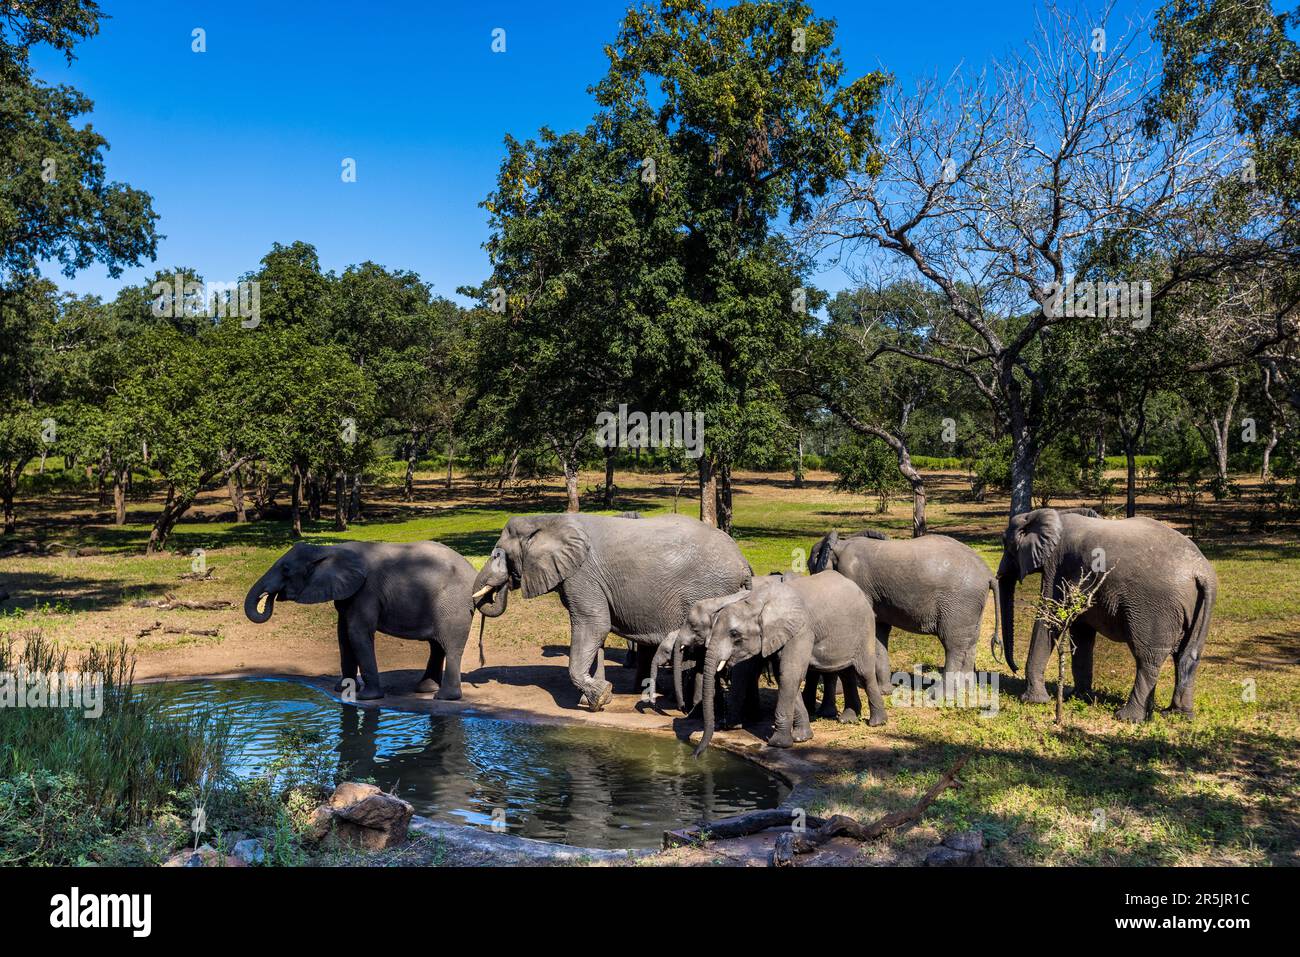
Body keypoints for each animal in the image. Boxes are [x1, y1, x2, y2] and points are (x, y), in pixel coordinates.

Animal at [244, 538, 478, 702]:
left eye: (285, 570)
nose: (271, 597)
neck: (329, 550)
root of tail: (473, 572)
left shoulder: (367, 590)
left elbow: (357, 632)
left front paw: (368, 697)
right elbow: (343, 635)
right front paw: (343, 688)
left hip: (454, 604)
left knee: (451, 646)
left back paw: (444, 697)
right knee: (436, 645)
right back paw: (425, 689)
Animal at [470, 514, 754, 712]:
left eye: (498, 554)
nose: (501, 583)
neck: (548, 520)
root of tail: (743, 563)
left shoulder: (582, 575)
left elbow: (594, 624)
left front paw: (599, 698)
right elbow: (597, 631)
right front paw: (591, 697)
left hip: (707, 591)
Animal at [696, 566, 889, 754]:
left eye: (734, 634)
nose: (697, 754)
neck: (759, 601)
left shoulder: (801, 630)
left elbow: (789, 674)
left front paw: (778, 744)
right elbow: (785, 677)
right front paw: (801, 738)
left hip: (865, 627)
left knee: (864, 672)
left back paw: (877, 722)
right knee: (845, 672)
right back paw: (848, 719)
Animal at [806, 527, 998, 707]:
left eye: (811, 565)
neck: (841, 544)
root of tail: (988, 575)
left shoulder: (855, 580)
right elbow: (879, 630)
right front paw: (884, 691)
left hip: (959, 603)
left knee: (954, 646)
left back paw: (939, 696)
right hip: (972, 607)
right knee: (970, 643)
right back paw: (966, 690)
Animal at [993, 509, 1216, 717]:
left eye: (1006, 543)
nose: (1014, 668)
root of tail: (1201, 572)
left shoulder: (1056, 566)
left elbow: (1050, 618)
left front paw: (1033, 701)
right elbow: (1081, 633)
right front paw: (1077, 698)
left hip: (1157, 609)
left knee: (1148, 659)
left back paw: (1128, 717)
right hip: (1198, 608)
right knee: (1186, 657)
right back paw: (1177, 714)